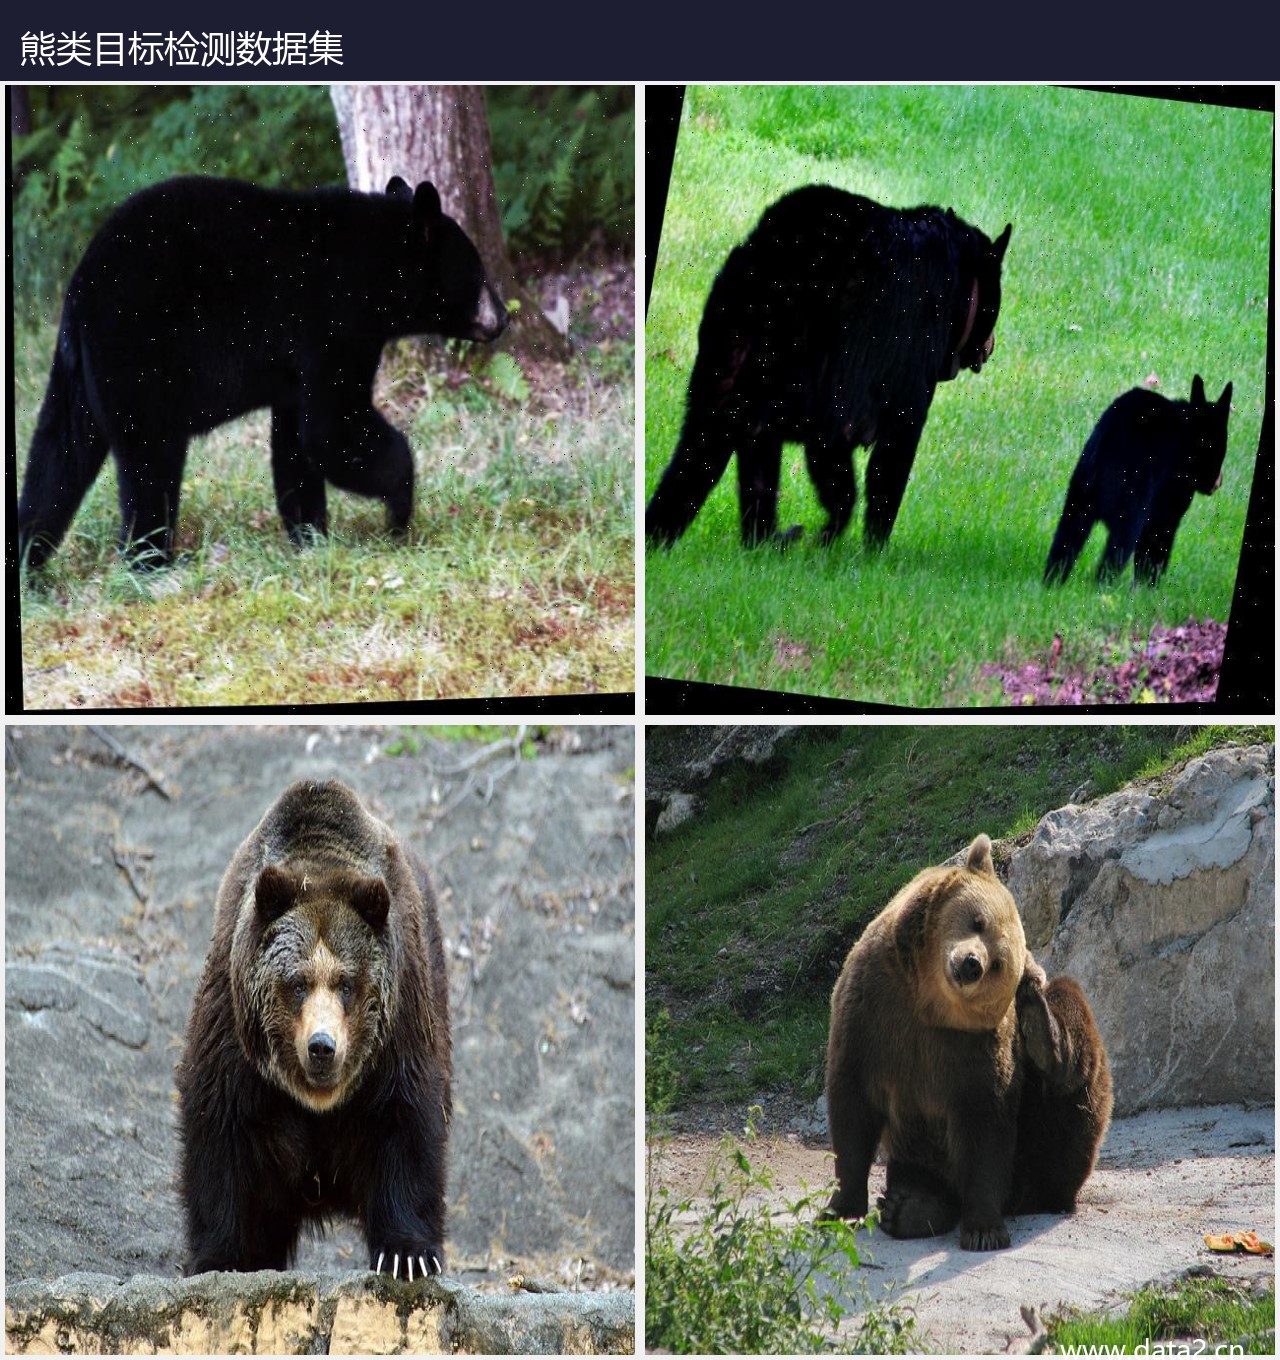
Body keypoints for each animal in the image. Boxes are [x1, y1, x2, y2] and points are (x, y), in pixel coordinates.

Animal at [17, 175, 508, 571]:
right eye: (480, 272)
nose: (504, 317)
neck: (377, 266)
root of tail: (80, 288)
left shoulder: (294, 370)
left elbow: (296, 444)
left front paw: (311, 536)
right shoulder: (336, 320)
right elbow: (333, 428)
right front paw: (400, 509)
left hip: (79, 372)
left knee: (58, 454)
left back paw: (26, 558)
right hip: (138, 348)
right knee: (149, 458)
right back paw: (151, 561)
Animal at [175, 778, 452, 1277]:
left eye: (346, 982)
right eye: (298, 982)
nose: (322, 1046)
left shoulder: (400, 1027)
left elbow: (407, 1124)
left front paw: (407, 1254)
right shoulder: (234, 1037)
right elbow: (219, 1134)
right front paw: (219, 1257)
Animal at [645, 185, 1012, 549]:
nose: (992, 346)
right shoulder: (899, 364)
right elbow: (889, 451)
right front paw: (871, 548)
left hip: (728, 345)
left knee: (712, 441)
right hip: (805, 356)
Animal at [824, 834, 1112, 1251]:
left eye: (998, 964)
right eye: (978, 920)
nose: (971, 963)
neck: (927, 1004)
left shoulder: (975, 1051)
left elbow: (985, 1126)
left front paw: (983, 1229)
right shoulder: (871, 1012)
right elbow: (852, 1104)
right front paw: (840, 1209)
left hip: (1049, 1142)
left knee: (1070, 1027)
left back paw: (1043, 1029)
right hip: (918, 1152)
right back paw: (907, 1206)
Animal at [1043, 376, 1234, 586]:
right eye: (1220, 448)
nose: (1218, 481)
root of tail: (1108, 441)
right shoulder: (1171, 495)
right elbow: (1155, 544)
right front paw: (1147, 587)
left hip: (1081, 490)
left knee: (1068, 535)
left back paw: (1052, 582)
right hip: (1132, 494)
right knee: (1119, 545)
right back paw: (1103, 587)